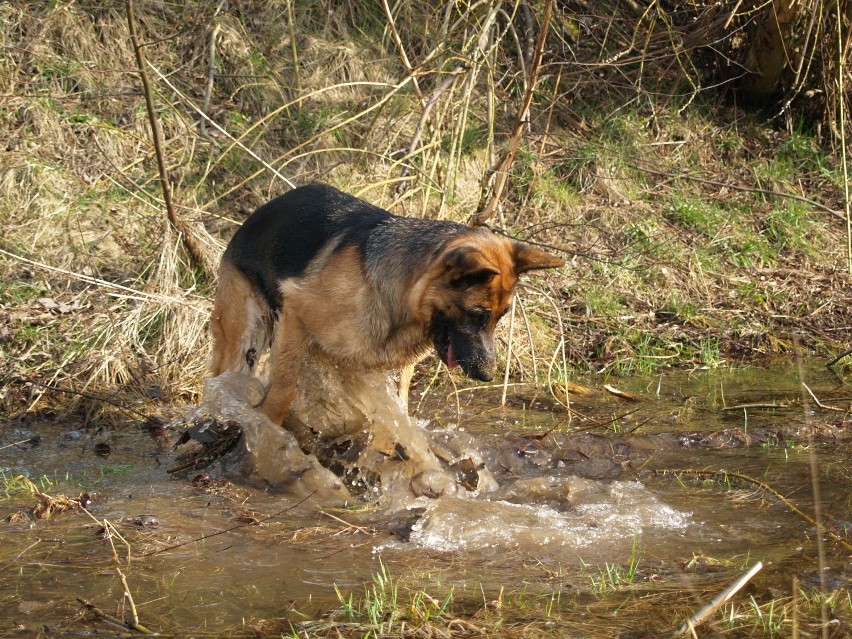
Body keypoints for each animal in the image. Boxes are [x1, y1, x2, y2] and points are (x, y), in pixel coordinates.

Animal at [210, 182, 564, 428]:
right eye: (477, 314)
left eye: (500, 318)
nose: (488, 375)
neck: (400, 302)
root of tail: (261, 211)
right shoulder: (296, 316)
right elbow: (284, 389)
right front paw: (269, 430)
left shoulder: (390, 369)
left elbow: (399, 407)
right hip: (243, 336)